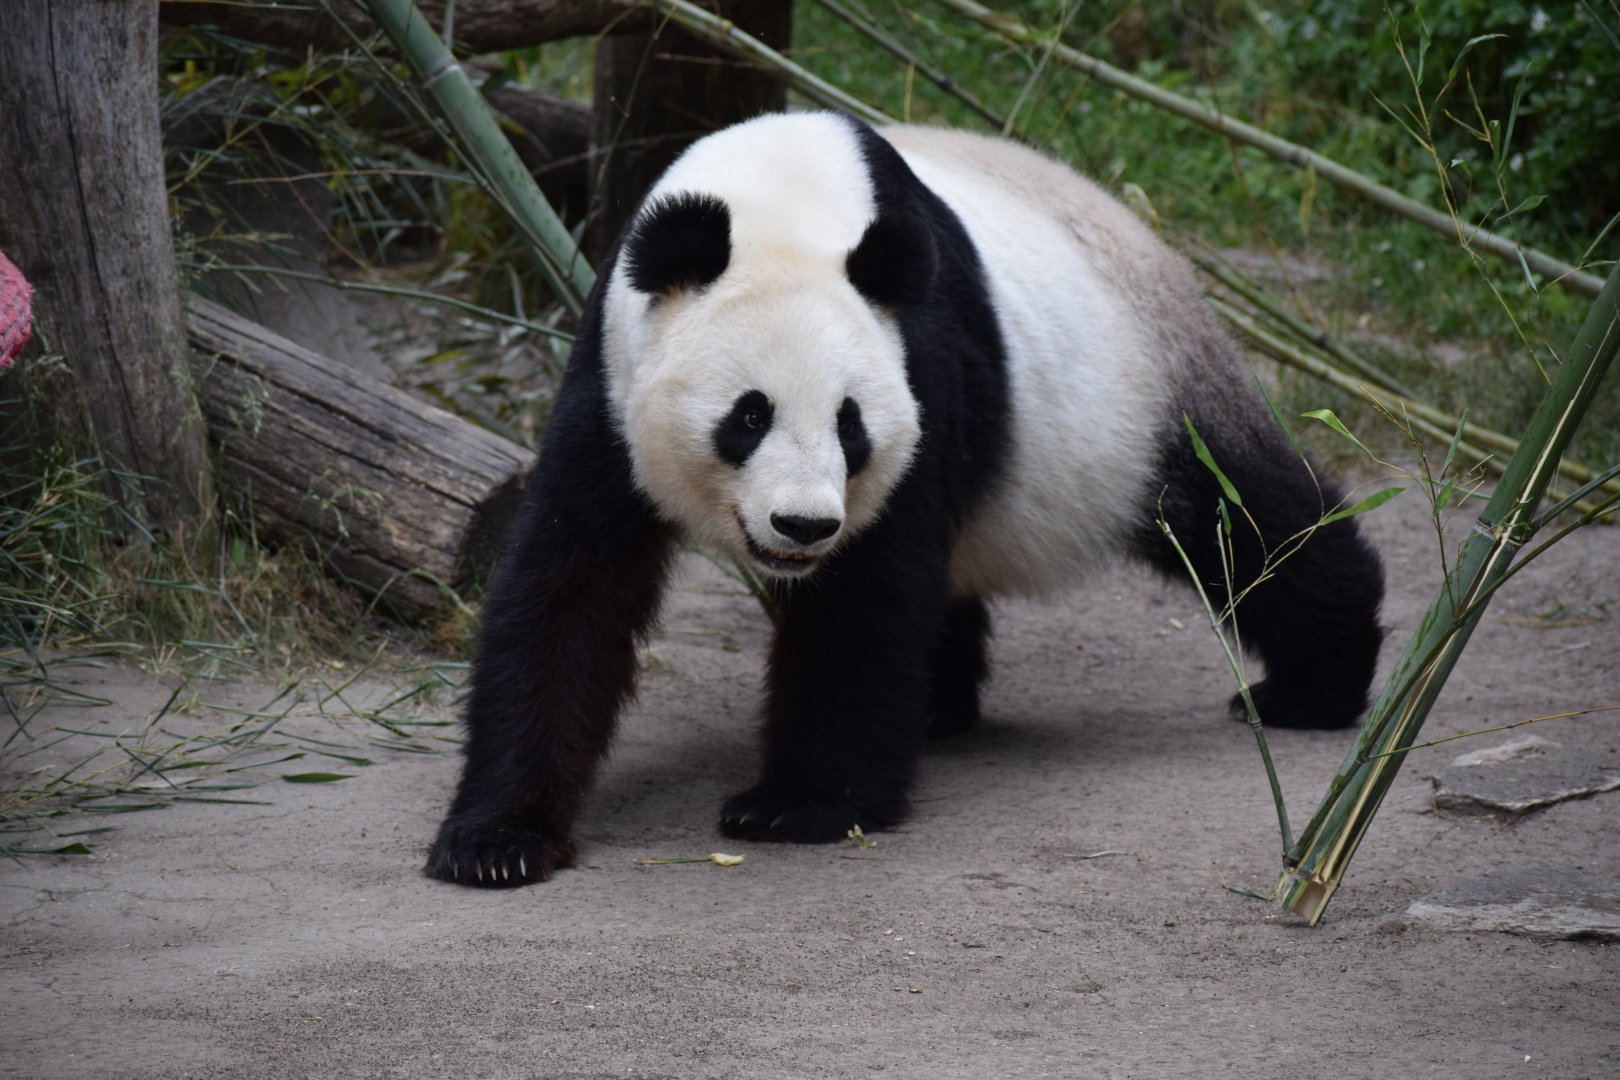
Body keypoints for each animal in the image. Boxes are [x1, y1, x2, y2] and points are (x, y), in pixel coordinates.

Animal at [424, 112, 1384, 887]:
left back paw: (1310, 688)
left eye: (850, 424)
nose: (803, 525)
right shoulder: (612, 378)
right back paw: (937, 709)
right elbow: (568, 586)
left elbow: (868, 593)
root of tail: (1142, 232)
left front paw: (797, 805)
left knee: (1246, 521)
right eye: (748, 415)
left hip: (1143, 394)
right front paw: (497, 840)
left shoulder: (922, 359)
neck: (780, 198)